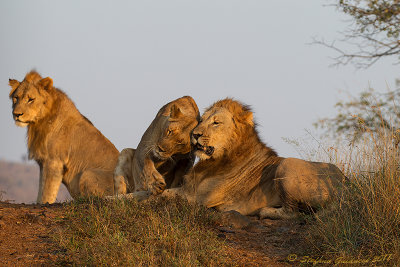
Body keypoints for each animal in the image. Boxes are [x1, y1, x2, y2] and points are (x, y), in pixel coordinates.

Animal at [9, 71, 119, 205]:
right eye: (16, 98)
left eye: (31, 99)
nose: (16, 114)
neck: (39, 123)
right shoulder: (43, 163)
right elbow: (41, 189)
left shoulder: (55, 161)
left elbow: (47, 192)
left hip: (87, 174)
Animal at [119, 98, 346, 220]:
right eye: (201, 120)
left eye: (216, 122)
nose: (195, 135)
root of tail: (347, 183)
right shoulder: (187, 190)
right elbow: (147, 194)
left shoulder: (195, 198)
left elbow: (154, 197)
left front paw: (120, 200)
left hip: (287, 164)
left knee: (294, 213)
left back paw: (265, 211)